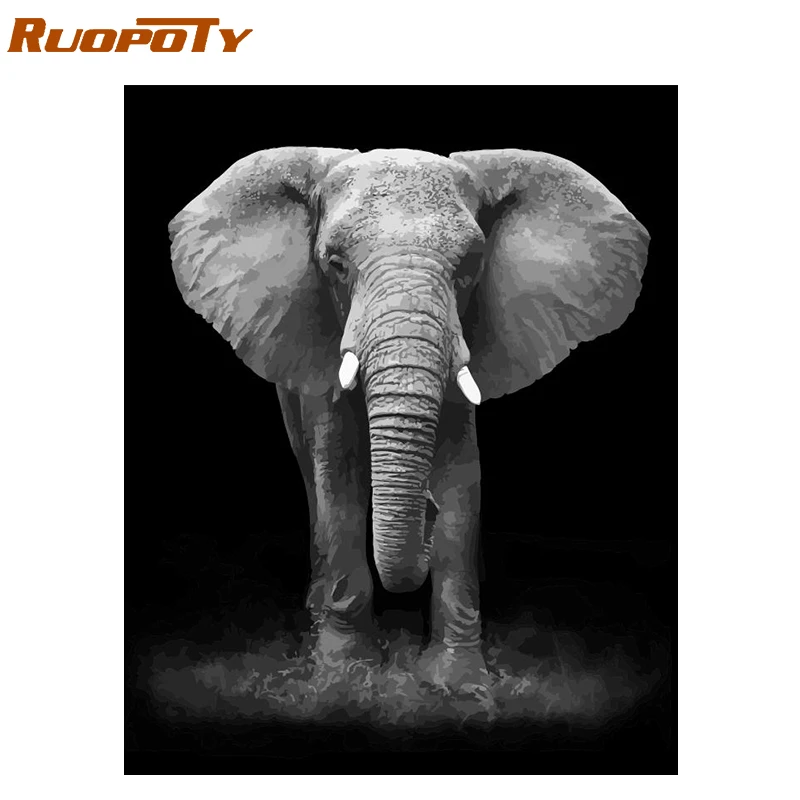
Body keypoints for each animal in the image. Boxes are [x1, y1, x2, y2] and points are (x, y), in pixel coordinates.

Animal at [168, 147, 649, 691]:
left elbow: (463, 477)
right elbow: (338, 477)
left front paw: (458, 684)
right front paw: (345, 674)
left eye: (470, 266)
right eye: (335, 265)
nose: (425, 514)